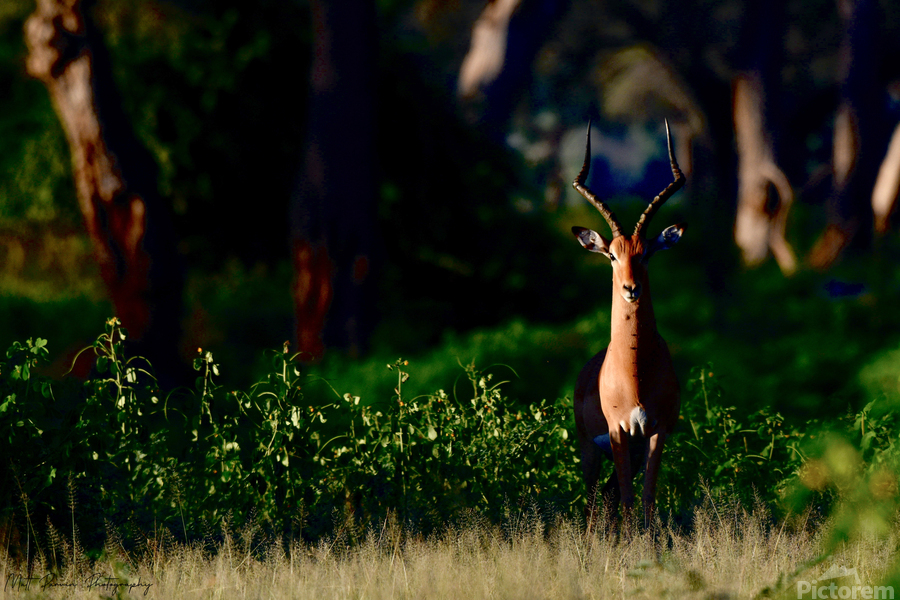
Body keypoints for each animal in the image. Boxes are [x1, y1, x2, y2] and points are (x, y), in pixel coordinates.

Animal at [571, 120, 685, 528]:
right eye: (612, 256)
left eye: (646, 253)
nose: (630, 288)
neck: (634, 375)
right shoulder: (619, 432)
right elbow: (627, 501)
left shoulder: (656, 431)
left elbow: (646, 500)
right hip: (589, 450)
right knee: (592, 504)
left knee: (606, 499)